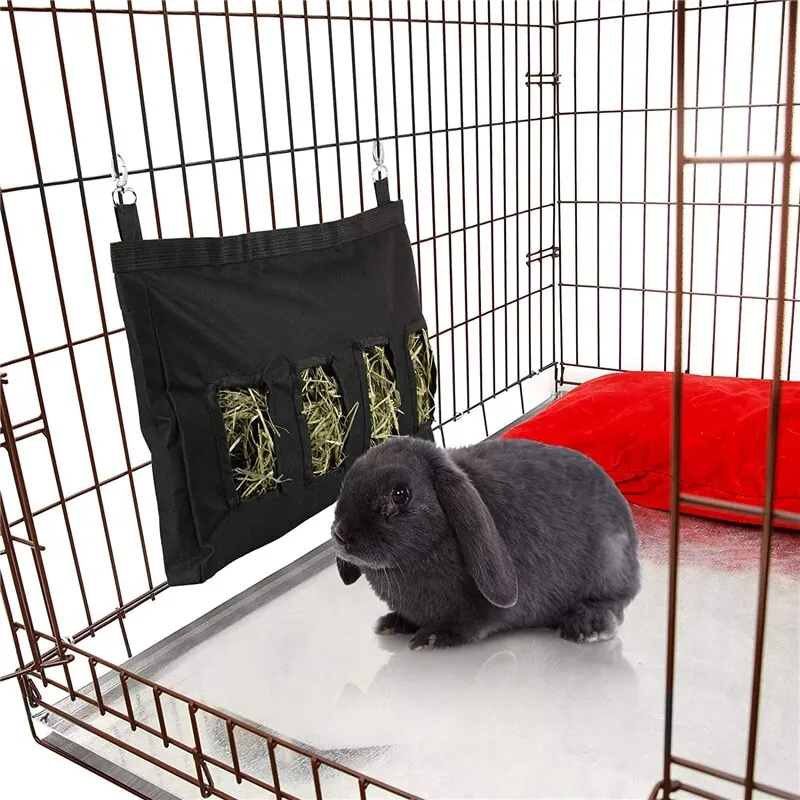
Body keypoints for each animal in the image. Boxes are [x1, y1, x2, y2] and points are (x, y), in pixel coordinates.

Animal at [331, 436, 640, 651]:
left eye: (400, 494)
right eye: (346, 484)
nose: (341, 535)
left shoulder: (477, 612)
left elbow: (470, 624)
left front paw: (431, 638)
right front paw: (393, 623)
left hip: (609, 565)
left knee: (616, 602)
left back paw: (586, 626)